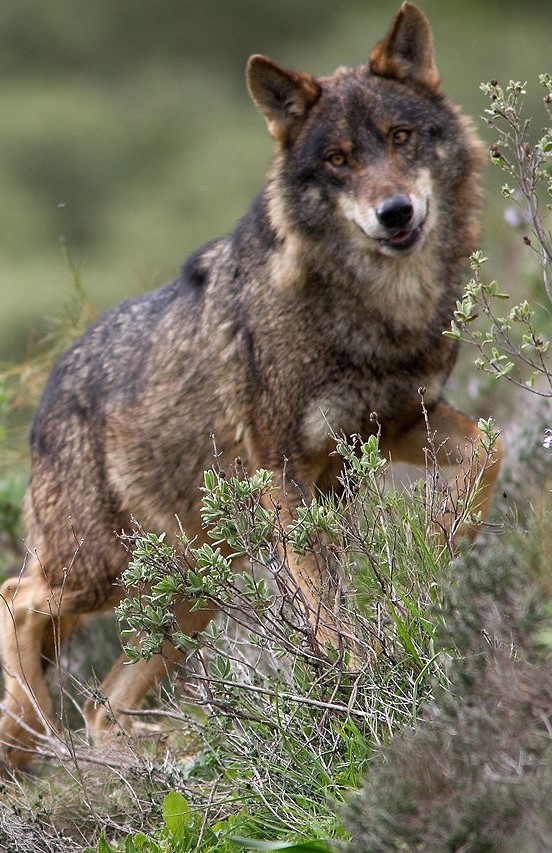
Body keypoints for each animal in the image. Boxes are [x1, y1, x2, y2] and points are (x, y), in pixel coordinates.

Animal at [0, 0, 502, 768]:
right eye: (337, 159)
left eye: (402, 137)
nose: (395, 213)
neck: (374, 313)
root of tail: (47, 388)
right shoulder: (284, 473)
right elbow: (327, 611)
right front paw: (360, 677)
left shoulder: (399, 424)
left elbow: (489, 453)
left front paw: (445, 543)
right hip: (102, 569)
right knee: (17, 598)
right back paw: (32, 730)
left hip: (195, 584)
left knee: (101, 706)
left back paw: (153, 753)